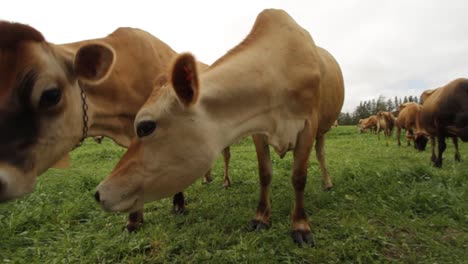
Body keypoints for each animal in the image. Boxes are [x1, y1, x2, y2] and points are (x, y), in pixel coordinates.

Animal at [94, 9, 344, 246]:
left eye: (145, 127)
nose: (97, 193)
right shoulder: (258, 130)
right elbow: (265, 174)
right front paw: (261, 218)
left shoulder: (308, 124)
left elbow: (299, 177)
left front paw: (301, 226)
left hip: (324, 127)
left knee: (321, 154)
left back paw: (328, 183)